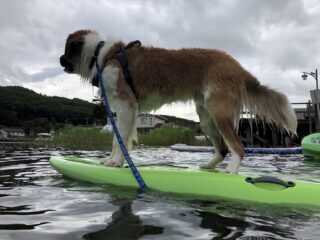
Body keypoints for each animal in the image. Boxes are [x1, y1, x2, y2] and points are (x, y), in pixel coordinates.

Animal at [60, 29, 298, 172]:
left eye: (66, 50)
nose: (60, 59)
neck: (103, 56)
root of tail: (236, 65)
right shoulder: (125, 111)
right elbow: (119, 140)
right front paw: (113, 161)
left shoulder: (127, 107)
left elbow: (120, 141)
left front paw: (115, 162)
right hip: (206, 117)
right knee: (222, 148)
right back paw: (208, 166)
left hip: (218, 112)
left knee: (238, 146)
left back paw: (231, 171)